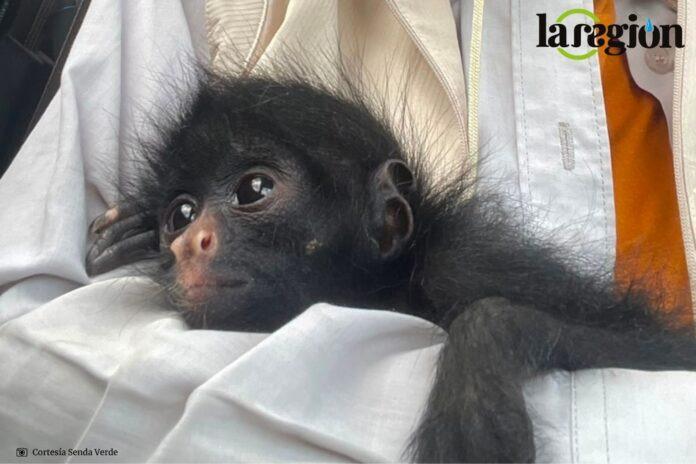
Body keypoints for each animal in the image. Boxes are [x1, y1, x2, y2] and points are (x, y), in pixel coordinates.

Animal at [85, 69, 696, 463]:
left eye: (253, 190)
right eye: (181, 214)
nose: (190, 243)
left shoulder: (465, 264)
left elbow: (667, 351)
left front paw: (477, 381)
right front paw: (130, 232)